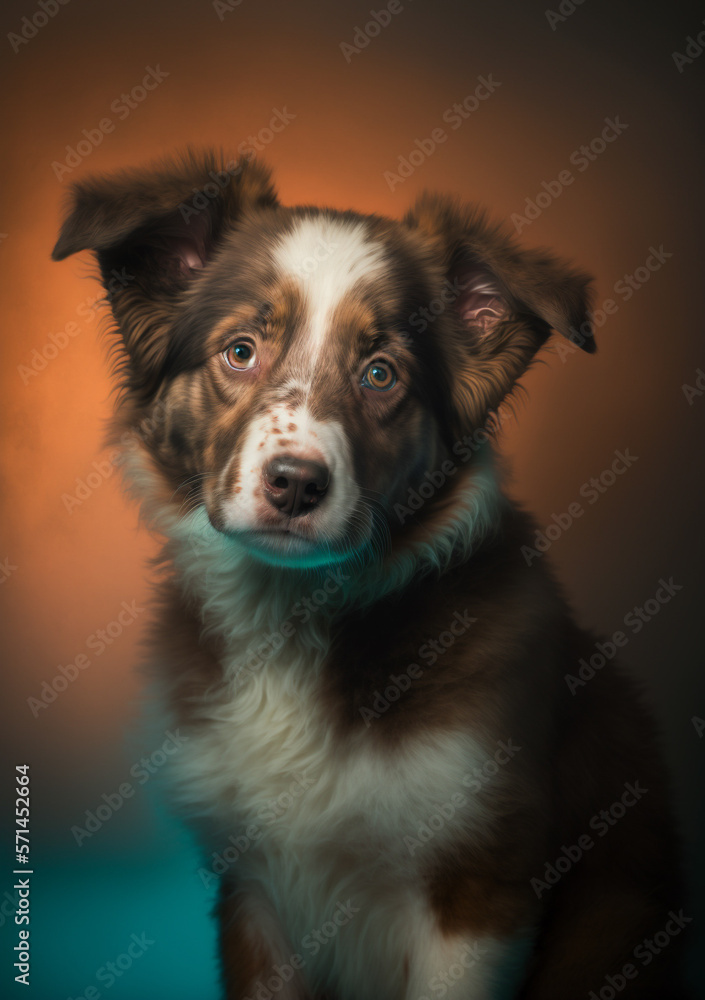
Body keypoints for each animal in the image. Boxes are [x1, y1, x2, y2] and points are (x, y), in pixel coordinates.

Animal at [53, 152, 688, 996]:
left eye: (381, 373)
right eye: (240, 351)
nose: (295, 484)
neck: (295, 623)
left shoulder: (477, 887)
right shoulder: (253, 890)